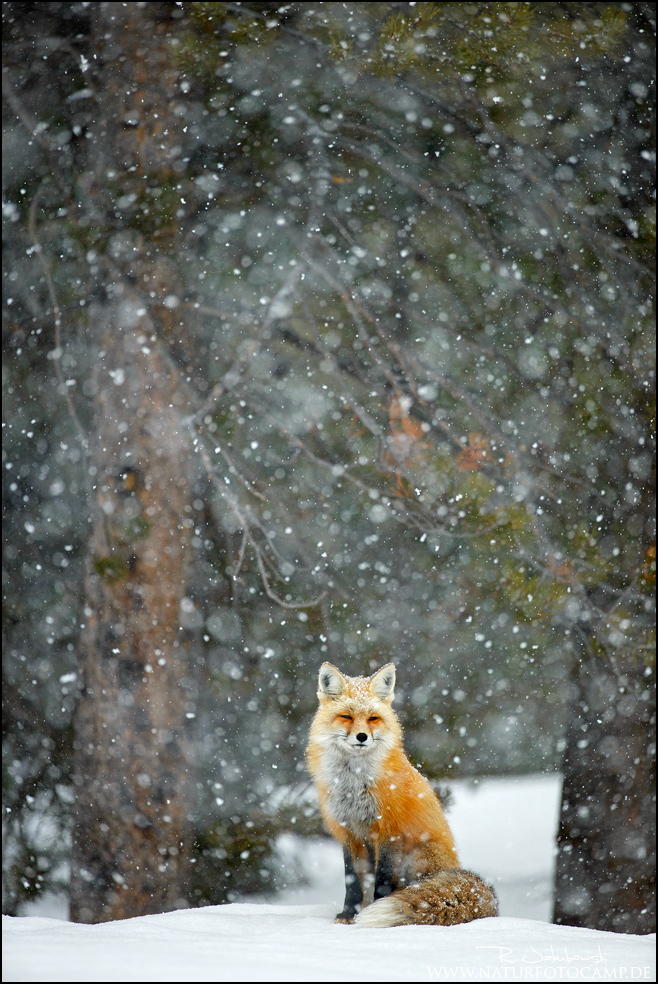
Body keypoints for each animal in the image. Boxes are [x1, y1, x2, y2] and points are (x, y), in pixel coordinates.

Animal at [304, 664, 498, 928]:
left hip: (417, 856)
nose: (362, 736)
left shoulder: (389, 829)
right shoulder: (348, 831)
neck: (354, 783)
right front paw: (347, 914)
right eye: (347, 716)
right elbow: (351, 879)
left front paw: (371, 911)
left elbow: (383, 880)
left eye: (373, 718)